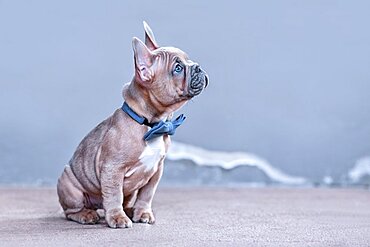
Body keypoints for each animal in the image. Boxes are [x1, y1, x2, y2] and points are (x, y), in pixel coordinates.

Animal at [57, 22, 208, 229]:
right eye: (177, 68)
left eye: (189, 59)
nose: (198, 67)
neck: (150, 124)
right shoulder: (112, 169)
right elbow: (113, 195)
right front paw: (117, 218)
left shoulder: (156, 171)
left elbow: (146, 194)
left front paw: (143, 212)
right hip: (69, 184)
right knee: (71, 211)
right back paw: (86, 214)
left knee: (125, 200)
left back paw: (129, 210)